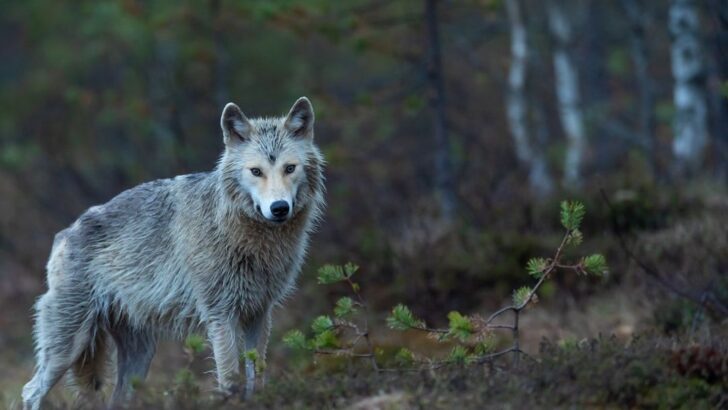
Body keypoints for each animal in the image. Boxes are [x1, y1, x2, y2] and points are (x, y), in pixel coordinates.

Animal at [21, 97, 325, 410]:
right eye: (256, 171)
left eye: (290, 168)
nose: (279, 208)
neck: (246, 237)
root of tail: (64, 233)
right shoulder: (221, 315)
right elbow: (230, 379)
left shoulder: (259, 314)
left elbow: (258, 376)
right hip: (69, 346)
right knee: (30, 390)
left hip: (139, 356)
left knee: (116, 398)